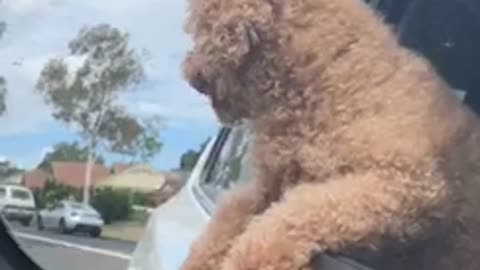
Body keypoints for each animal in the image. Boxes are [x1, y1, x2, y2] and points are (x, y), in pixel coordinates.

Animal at [180, 0, 480, 270]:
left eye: (198, 27)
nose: (189, 71)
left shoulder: (404, 182)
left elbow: (291, 218)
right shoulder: (266, 187)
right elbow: (227, 219)